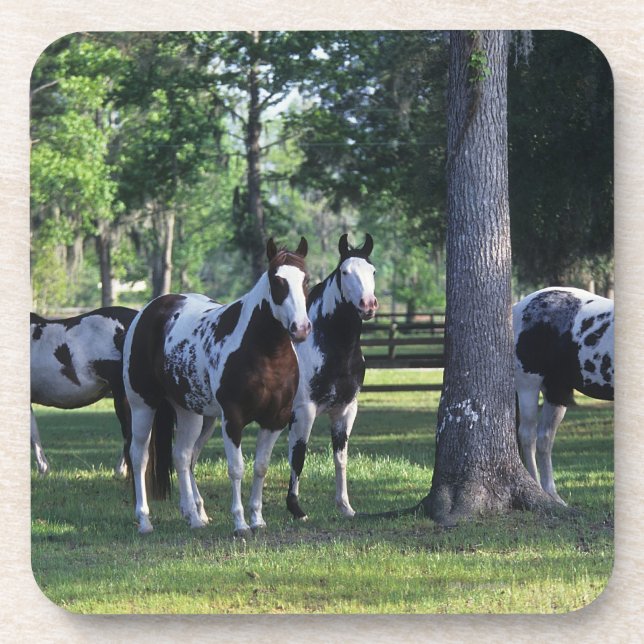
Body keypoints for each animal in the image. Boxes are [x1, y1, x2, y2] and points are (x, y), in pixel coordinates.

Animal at [123, 237, 311, 535]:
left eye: (306, 279)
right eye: (277, 280)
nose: (301, 328)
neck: (265, 353)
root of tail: (149, 311)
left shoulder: (275, 420)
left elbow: (261, 467)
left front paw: (258, 519)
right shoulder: (233, 419)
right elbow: (236, 469)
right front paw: (241, 523)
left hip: (192, 414)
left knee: (183, 456)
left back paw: (195, 517)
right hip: (143, 405)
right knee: (139, 457)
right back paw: (144, 520)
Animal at [286, 233, 378, 520]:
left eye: (373, 271)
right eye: (345, 272)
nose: (368, 305)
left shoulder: (345, 410)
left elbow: (340, 458)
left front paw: (345, 506)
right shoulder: (304, 411)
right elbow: (298, 457)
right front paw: (295, 508)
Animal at [513, 286, 614, 505]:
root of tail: (519, 306)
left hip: (556, 392)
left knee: (545, 438)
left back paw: (553, 496)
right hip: (528, 384)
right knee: (528, 436)